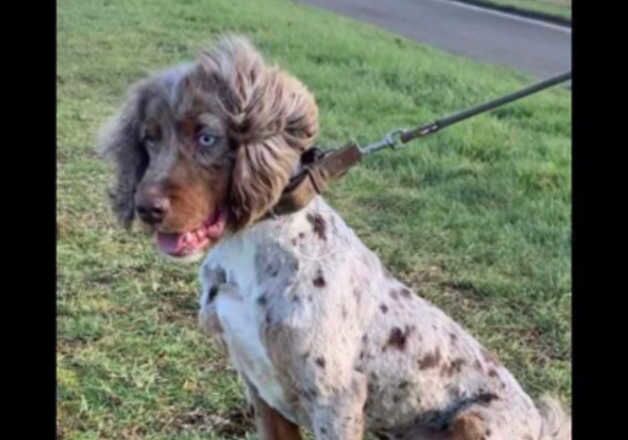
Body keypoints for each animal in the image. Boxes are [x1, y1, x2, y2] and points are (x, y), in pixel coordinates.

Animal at [97, 35, 568, 440]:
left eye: (207, 136)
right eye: (149, 138)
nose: (146, 208)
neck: (249, 247)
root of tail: (541, 424)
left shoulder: (335, 399)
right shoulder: (259, 387)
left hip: (474, 420)